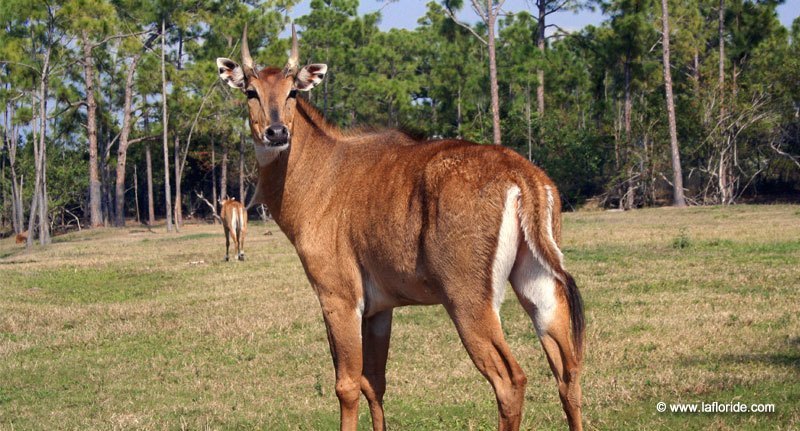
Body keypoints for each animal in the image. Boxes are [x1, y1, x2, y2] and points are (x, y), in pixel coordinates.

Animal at [216, 24, 584, 431]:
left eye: (293, 91)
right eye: (251, 91)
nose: (277, 132)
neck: (320, 172)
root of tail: (522, 176)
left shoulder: (338, 297)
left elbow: (347, 384)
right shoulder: (379, 309)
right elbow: (374, 383)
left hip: (468, 299)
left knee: (510, 379)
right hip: (537, 284)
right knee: (567, 370)